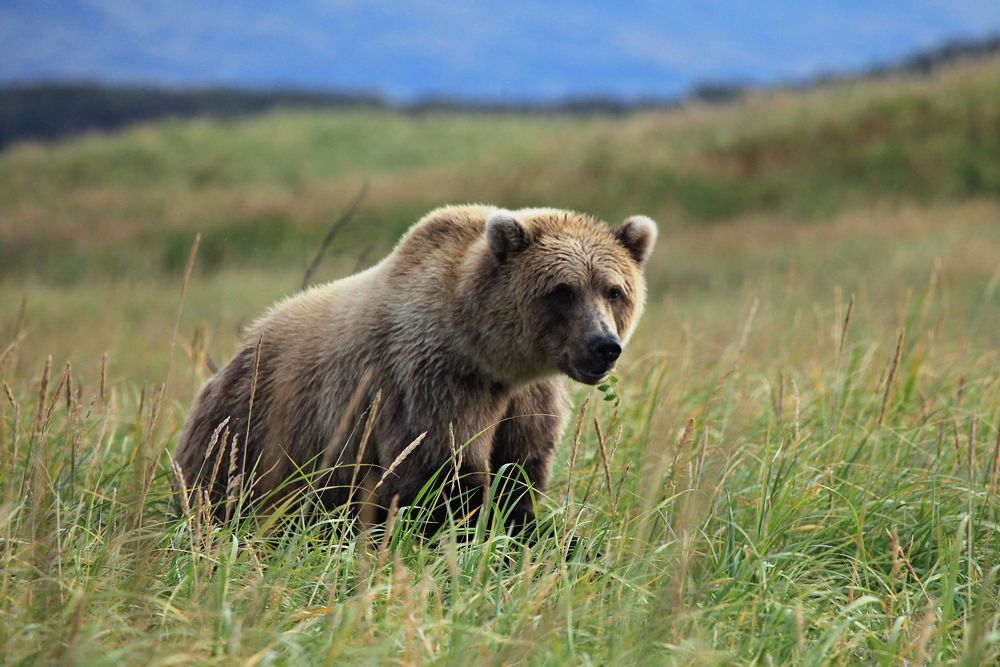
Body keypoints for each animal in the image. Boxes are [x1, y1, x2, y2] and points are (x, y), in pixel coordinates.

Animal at [174, 206, 656, 536]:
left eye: (613, 290)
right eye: (562, 291)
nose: (603, 346)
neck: (489, 353)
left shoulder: (527, 398)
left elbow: (519, 473)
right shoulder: (432, 381)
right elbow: (443, 476)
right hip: (251, 435)